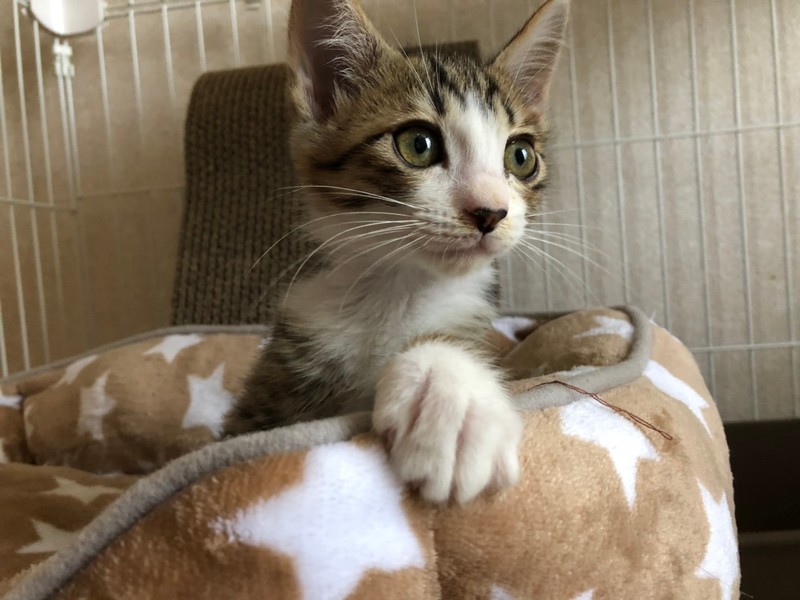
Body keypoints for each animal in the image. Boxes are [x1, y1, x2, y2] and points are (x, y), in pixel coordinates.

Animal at [223, 0, 569, 504]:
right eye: (418, 145)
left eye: (520, 156)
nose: (490, 212)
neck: (397, 292)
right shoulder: (261, 408)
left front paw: (451, 394)